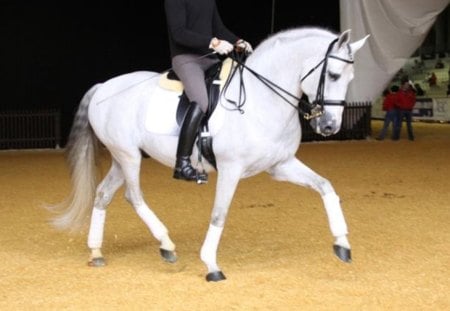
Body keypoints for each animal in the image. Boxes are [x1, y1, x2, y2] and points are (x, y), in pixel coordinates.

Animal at [50, 27, 370, 282]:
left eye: (351, 78)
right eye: (333, 75)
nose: (329, 126)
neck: (261, 99)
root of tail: (103, 86)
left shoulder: (281, 165)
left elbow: (325, 186)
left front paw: (342, 244)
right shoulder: (231, 168)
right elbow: (219, 214)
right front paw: (211, 265)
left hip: (121, 157)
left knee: (103, 194)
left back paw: (96, 251)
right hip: (128, 156)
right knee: (134, 196)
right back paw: (166, 244)